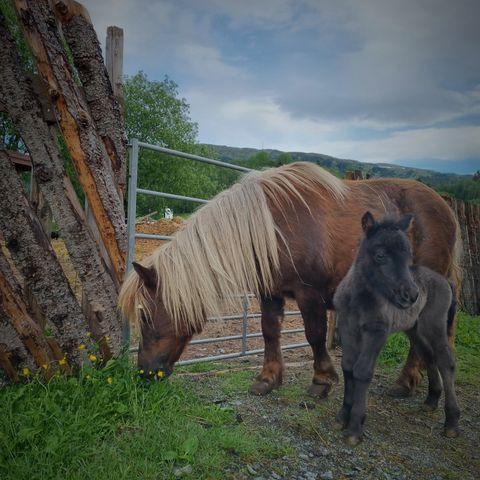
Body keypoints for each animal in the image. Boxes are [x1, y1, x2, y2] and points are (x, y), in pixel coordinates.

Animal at [118, 161, 460, 398]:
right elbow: (270, 332)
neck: (271, 227)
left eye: (145, 317)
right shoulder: (270, 293)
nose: (144, 372)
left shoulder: (309, 294)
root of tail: (445, 206)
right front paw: (267, 380)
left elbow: (314, 335)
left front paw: (322, 381)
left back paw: (406, 383)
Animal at [332, 214, 460, 446]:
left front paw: (355, 427)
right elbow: (347, 367)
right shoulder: (347, 329)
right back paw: (430, 401)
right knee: (429, 357)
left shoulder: (377, 332)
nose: (411, 295)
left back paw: (452, 423)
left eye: (408, 256)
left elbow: (362, 371)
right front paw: (343, 417)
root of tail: (445, 280)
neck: (358, 300)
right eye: (380, 255)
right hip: (415, 330)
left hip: (434, 326)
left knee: (446, 362)